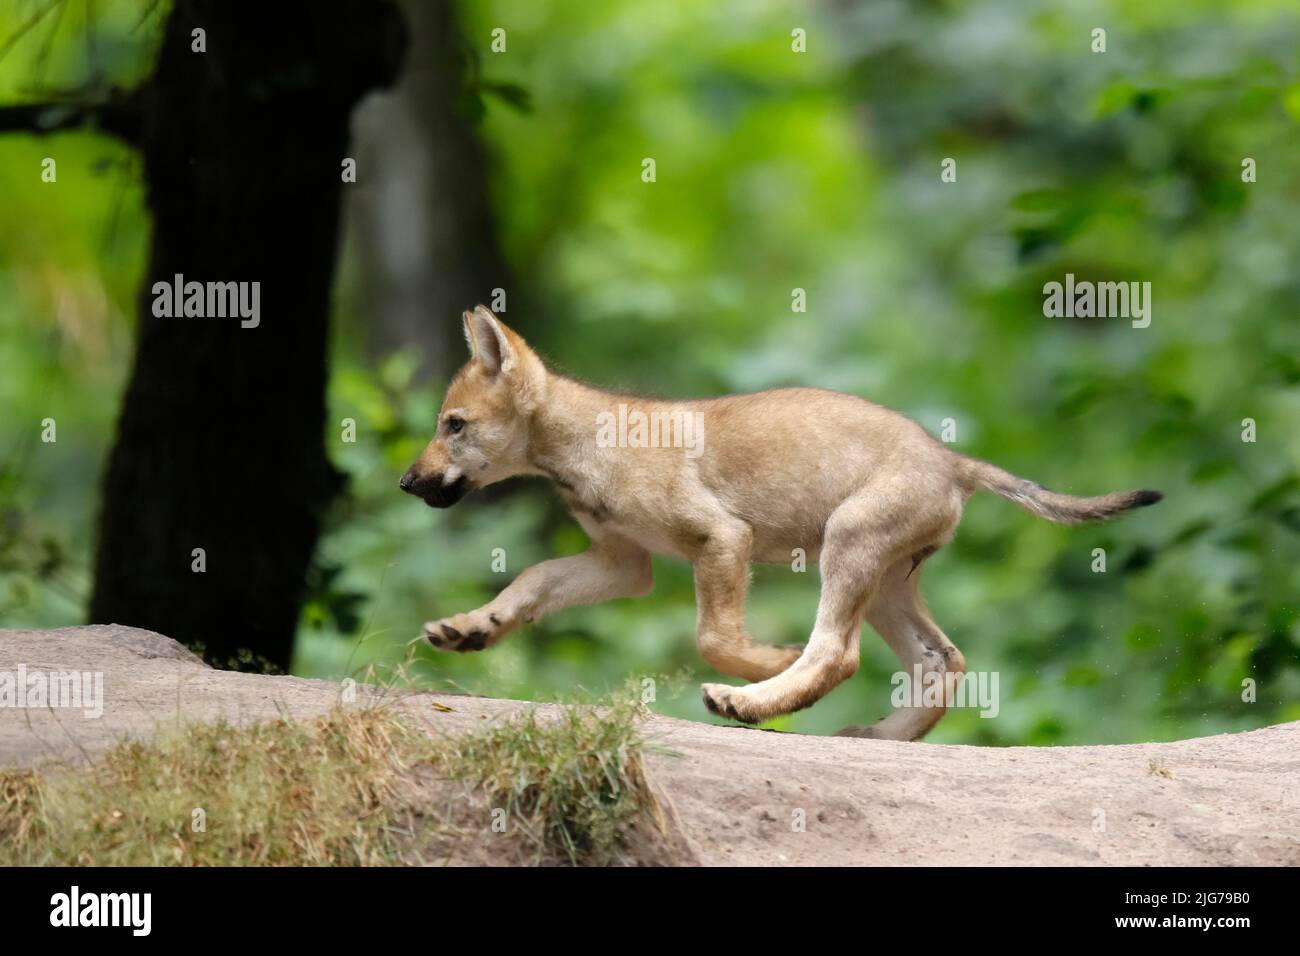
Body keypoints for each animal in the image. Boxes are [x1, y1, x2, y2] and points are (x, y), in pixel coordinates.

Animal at [400, 306, 1161, 740]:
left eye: (453, 425)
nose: (407, 482)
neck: (579, 446)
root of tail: (952, 458)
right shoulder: (622, 563)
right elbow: (530, 582)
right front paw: (471, 629)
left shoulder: (718, 539)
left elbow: (711, 636)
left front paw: (763, 661)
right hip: (885, 582)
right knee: (942, 659)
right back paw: (879, 737)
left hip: (846, 547)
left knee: (837, 654)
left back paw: (749, 701)